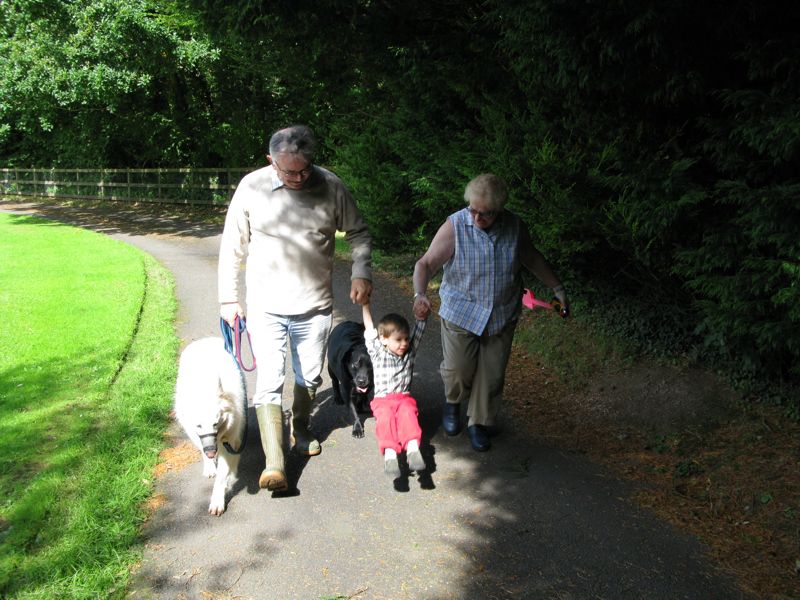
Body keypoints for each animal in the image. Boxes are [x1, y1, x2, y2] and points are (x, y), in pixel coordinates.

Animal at [175, 338, 247, 516]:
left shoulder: (231, 440)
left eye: (215, 423)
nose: (211, 452)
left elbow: (223, 474)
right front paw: (210, 467)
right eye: (199, 425)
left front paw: (217, 500)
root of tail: (204, 340)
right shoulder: (199, 435)